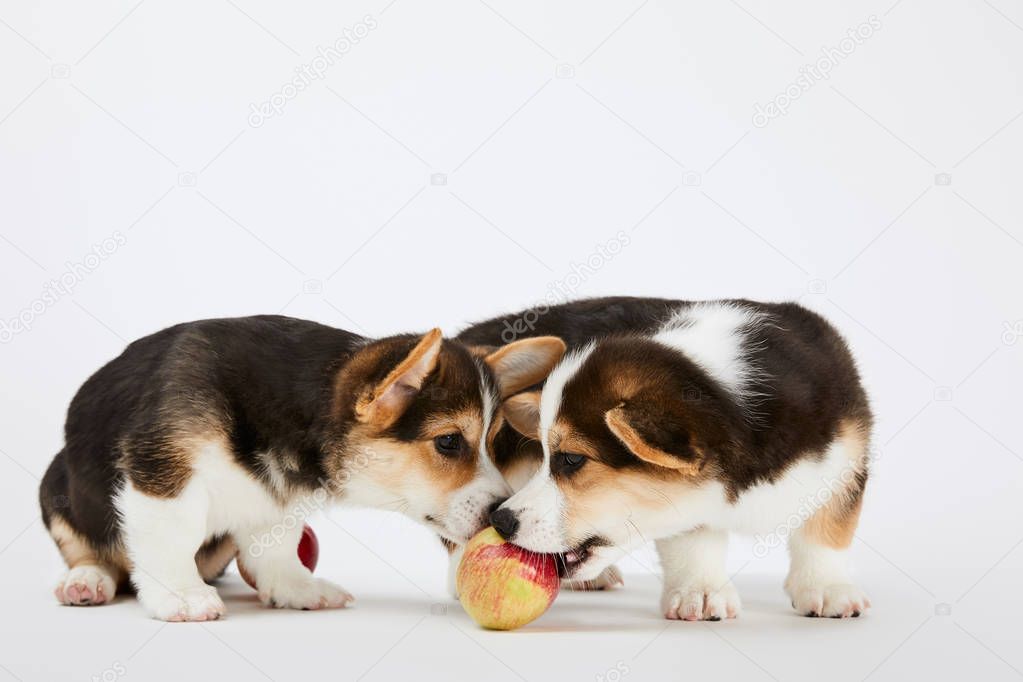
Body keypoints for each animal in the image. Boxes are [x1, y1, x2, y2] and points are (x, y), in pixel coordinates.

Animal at [39, 316, 564, 621]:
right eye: (450, 442)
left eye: (493, 444)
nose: (502, 513)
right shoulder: (162, 472)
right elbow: (171, 539)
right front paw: (182, 595)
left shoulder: (276, 498)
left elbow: (276, 545)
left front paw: (293, 587)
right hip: (56, 486)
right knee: (89, 550)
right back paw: (86, 581)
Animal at [478, 296, 871, 617]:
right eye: (546, 455)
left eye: (572, 460)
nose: (501, 521)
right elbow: (693, 541)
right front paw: (701, 594)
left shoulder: (848, 460)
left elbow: (827, 531)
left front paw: (828, 590)